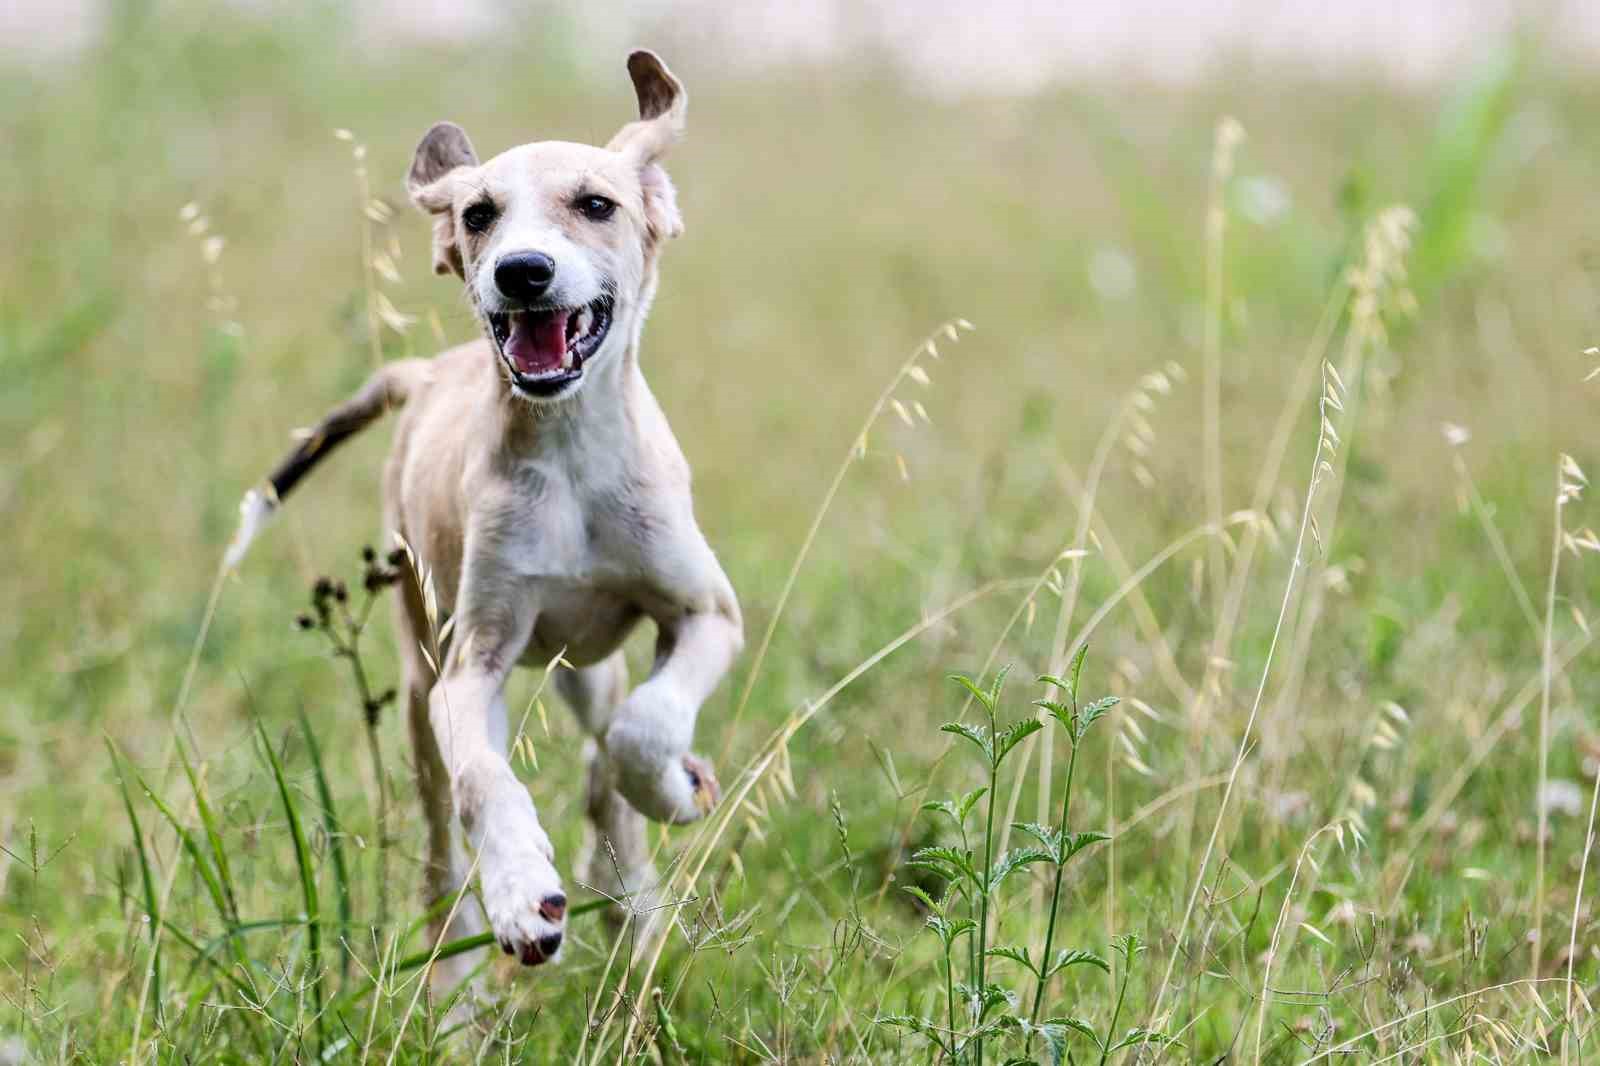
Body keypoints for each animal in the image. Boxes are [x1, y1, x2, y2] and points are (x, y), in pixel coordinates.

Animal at [225, 52, 742, 985]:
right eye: (478, 214)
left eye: (597, 204)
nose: (522, 272)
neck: (570, 453)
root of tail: (428, 371)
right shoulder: (471, 668)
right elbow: (485, 781)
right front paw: (522, 894)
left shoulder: (706, 612)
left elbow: (642, 729)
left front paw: (672, 793)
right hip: (419, 681)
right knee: (442, 844)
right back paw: (460, 972)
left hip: (585, 666)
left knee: (604, 743)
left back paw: (631, 899)